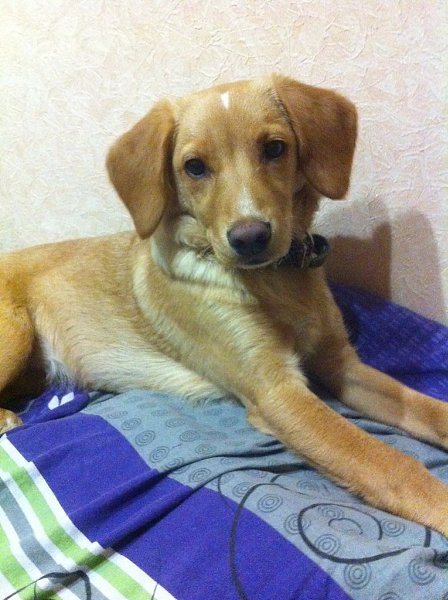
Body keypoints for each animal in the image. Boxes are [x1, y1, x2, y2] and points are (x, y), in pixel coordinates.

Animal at [1, 74, 448, 535]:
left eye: (274, 148)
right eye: (195, 167)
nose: (250, 237)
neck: (277, 281)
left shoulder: (341, 364)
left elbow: (427, 410)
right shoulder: (277, 391)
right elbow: (386, 462)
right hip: (15, 332)